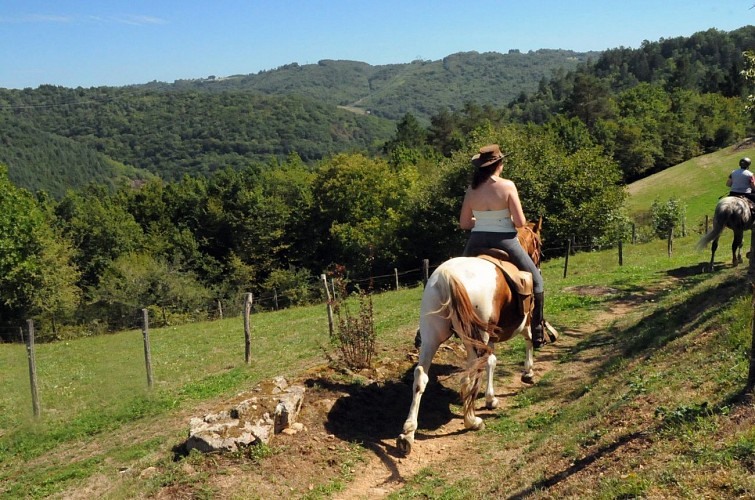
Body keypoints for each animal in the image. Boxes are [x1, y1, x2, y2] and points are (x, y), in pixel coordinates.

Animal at [398, 218, 548, 454]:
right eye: (539, 244)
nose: (539, 263)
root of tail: (447, 277)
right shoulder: (525, 319)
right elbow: (528, 339)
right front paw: (527, 373)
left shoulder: (490, 338)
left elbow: (492, 361)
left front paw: (491, 398)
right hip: (474, 339)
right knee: (469, 374)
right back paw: (472, 420)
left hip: (433, 336)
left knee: (421, 376)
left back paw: (407, 434)